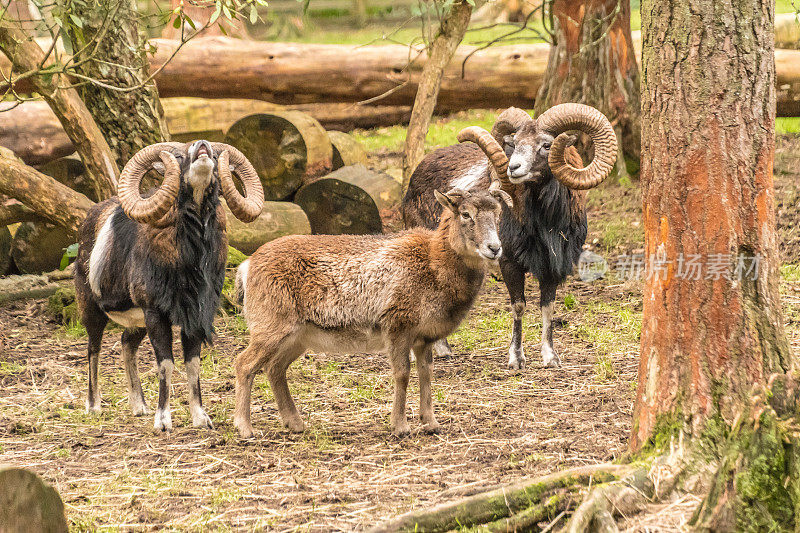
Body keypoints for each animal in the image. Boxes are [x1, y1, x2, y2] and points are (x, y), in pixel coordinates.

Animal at [231, 187, 512, 436]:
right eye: (465, 214)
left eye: (498, 214)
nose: (494, 248)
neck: (433, 264)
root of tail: (247, 266)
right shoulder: (398, 327)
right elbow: (402, 373)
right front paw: (400, 427)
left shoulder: (423, 338)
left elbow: (426, 373)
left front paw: (431, 424)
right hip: (270, 328)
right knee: (244, 364)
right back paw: (245, 429)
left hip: (296, 337)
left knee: (274, 369)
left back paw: (295, 424)